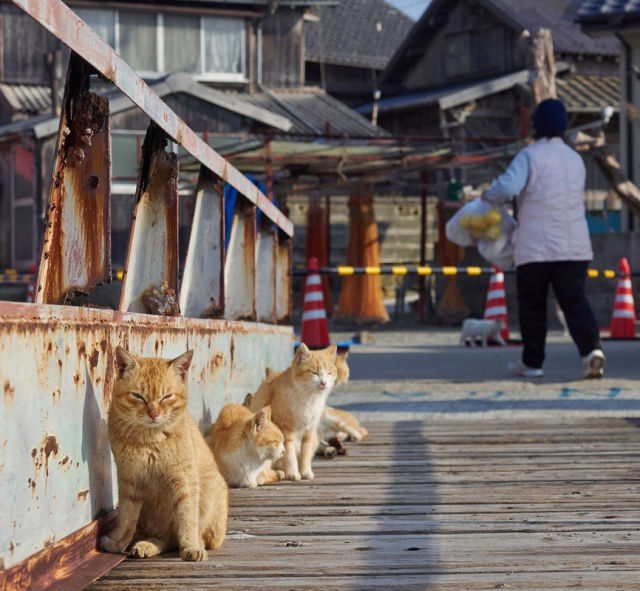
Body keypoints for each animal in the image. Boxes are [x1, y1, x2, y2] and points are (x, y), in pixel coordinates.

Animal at [101, 346, 229, 564]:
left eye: (166, 397)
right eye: (138, 396)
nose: (153, 413)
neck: (149, 440)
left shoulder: (184, 480)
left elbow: (187, 519)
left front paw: (191, 547)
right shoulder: (129, 481)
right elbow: (126, 517)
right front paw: (118, 542)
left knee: (179, 536)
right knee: (165, 537)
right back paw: (144, 545)